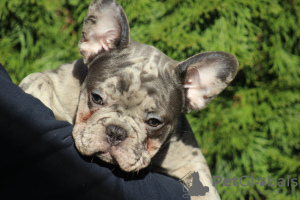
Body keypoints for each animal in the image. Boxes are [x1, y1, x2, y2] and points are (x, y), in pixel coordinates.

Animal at [19, 0, 238, 199]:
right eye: (96, 98)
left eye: (154, 122)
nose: (116, 132)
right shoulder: (58, 79)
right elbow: (39, 81)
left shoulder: (190, 159)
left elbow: (204, 186)